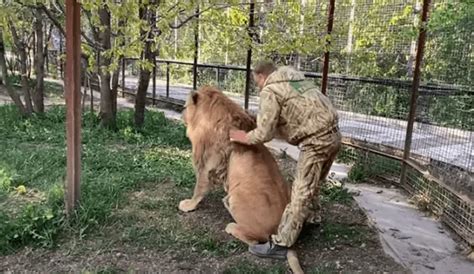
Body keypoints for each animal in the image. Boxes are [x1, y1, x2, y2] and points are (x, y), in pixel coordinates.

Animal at [178, 85, 304, 274]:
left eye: (185, 106)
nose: (181, 114)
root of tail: (280, 233)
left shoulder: (205, 163)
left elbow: (199, 188)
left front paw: (188, 205)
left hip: (236, 197)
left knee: (255, 239)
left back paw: (231, 225)